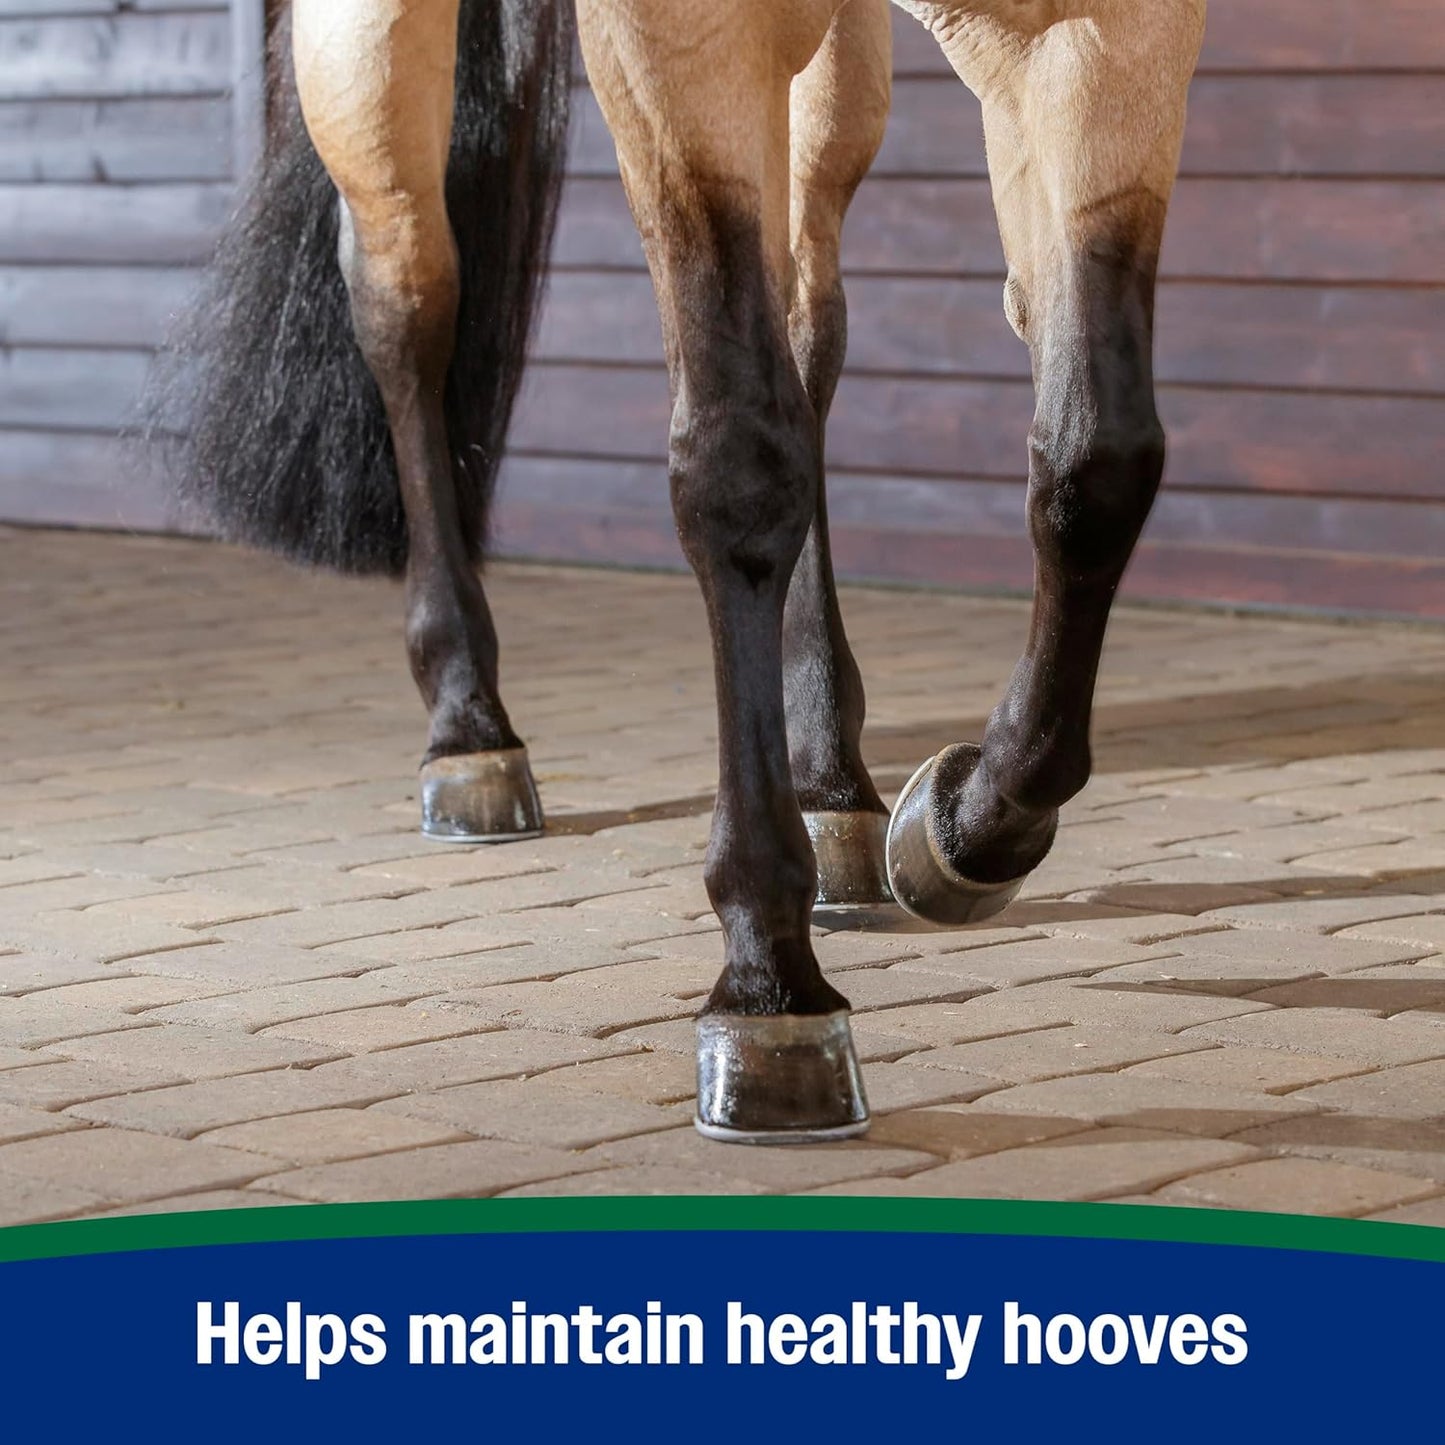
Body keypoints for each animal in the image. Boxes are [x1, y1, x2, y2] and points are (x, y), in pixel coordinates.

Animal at [161, 0, 1207, 1144]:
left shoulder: (1108, 37)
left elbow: (1095, 460)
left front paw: (962, 825)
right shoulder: (679, 47)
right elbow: (737, 464)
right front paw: (770, 986)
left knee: (806, 317)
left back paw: (829, 775)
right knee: (406, 296)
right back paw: (468, 724)